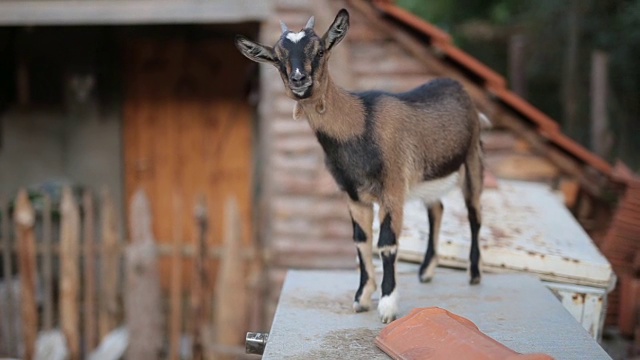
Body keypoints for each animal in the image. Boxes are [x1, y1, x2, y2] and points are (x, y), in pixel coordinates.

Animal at [236, 9, 484, 324]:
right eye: (278, 58)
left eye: (319, 50)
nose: (299, 79)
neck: (359, 124)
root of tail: (459, 87)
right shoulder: (353, 195)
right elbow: (361, 241)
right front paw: (362, 298)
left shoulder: (392, 188)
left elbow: (386, 243)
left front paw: (388, 305)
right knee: (436, 208)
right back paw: (426, 271)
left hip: (472, 160)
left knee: (474, 213)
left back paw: (474, 274)